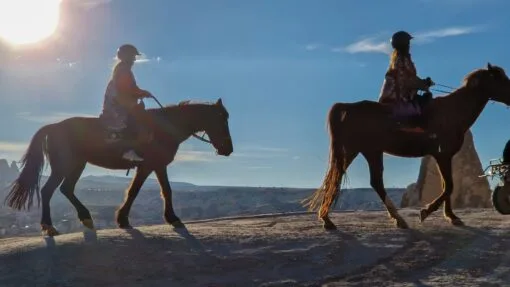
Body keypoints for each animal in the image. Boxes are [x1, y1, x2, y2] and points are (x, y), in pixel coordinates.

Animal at [3, 98, 233, 237]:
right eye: (222, 120)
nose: (228, 149)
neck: (165, 127)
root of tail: (53, 127)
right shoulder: (149, 165)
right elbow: (136, 191)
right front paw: (124, 219)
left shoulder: (157, 166)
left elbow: (165, 190)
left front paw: (170, 218)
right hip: (64, 165)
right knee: (47, 190)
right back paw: (49, 227)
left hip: (78, 164)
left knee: (66, 189)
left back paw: (85, 217)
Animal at [304, 63, 510, 232]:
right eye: (499, 78)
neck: (452, 112)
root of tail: (348, 108)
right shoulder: (442, 155)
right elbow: (449, 186)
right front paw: (427, 212)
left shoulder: (444, 156)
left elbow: (447, 186)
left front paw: (451, 216)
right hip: (369, 151)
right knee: (373, 182)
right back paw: (397, 219)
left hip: (359, 151)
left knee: (340, 178)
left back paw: (327, 219)